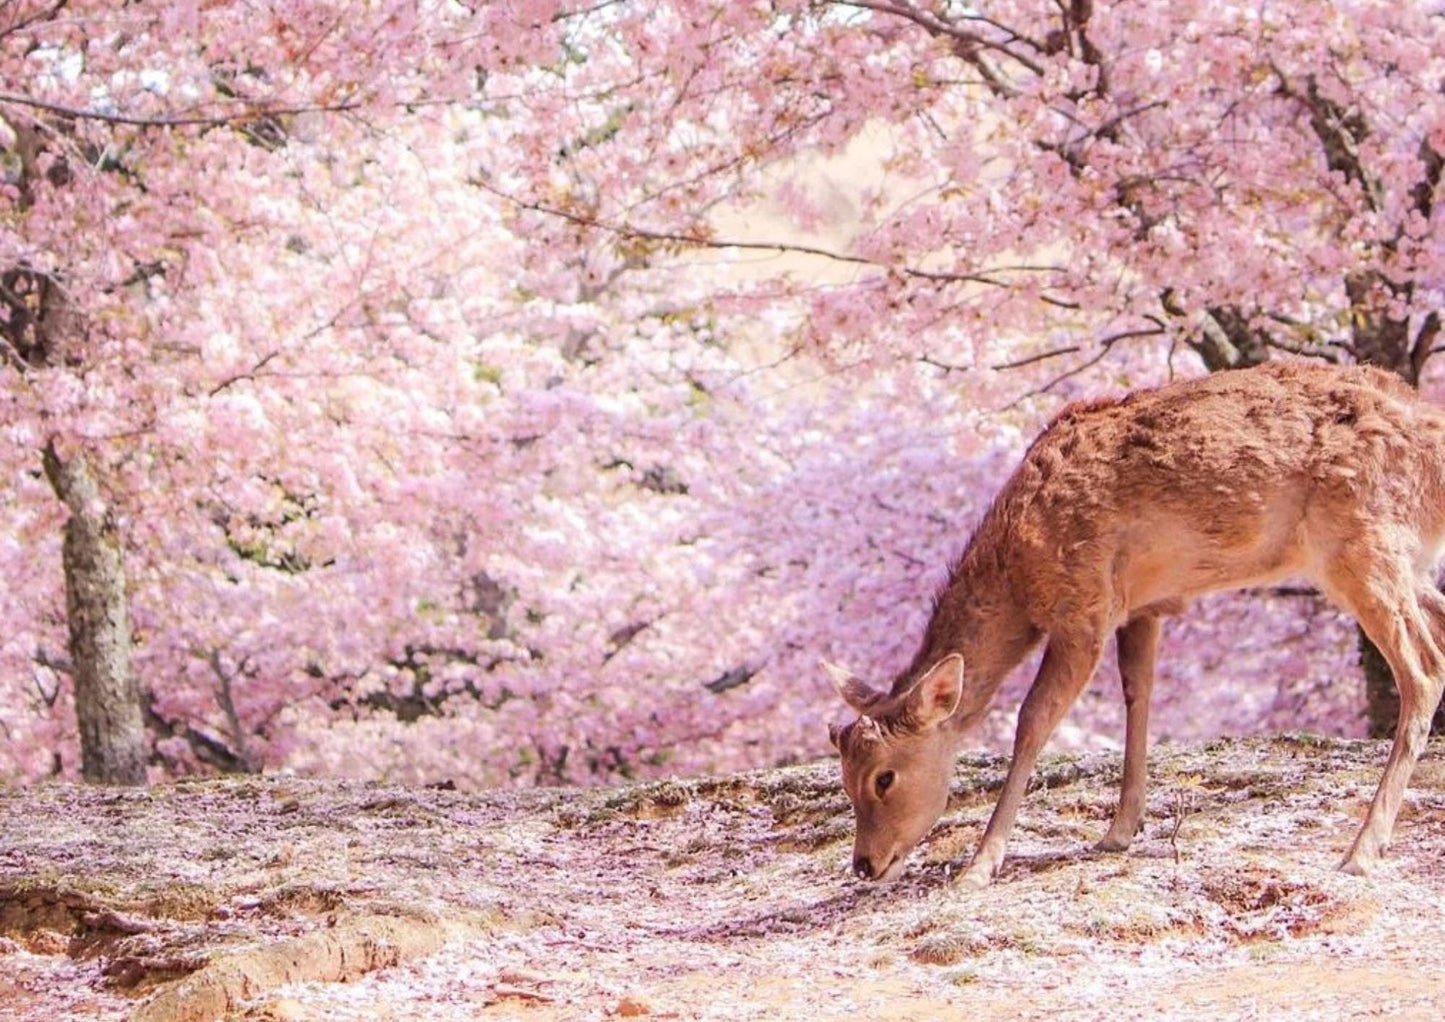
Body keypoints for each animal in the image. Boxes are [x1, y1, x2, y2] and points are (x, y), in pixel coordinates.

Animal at [826, 359, 1445, 884]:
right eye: (844, 776)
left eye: (884, 777)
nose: (864, 864)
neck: (1019, 573)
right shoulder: (1143, 607)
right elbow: (1137, 693)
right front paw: (1121, 829)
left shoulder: (1084, 607)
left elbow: (1033, 721)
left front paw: (979, 866)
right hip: (1398, 560)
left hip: (1360, 541)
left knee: (1424, 670)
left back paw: (1362, 850)